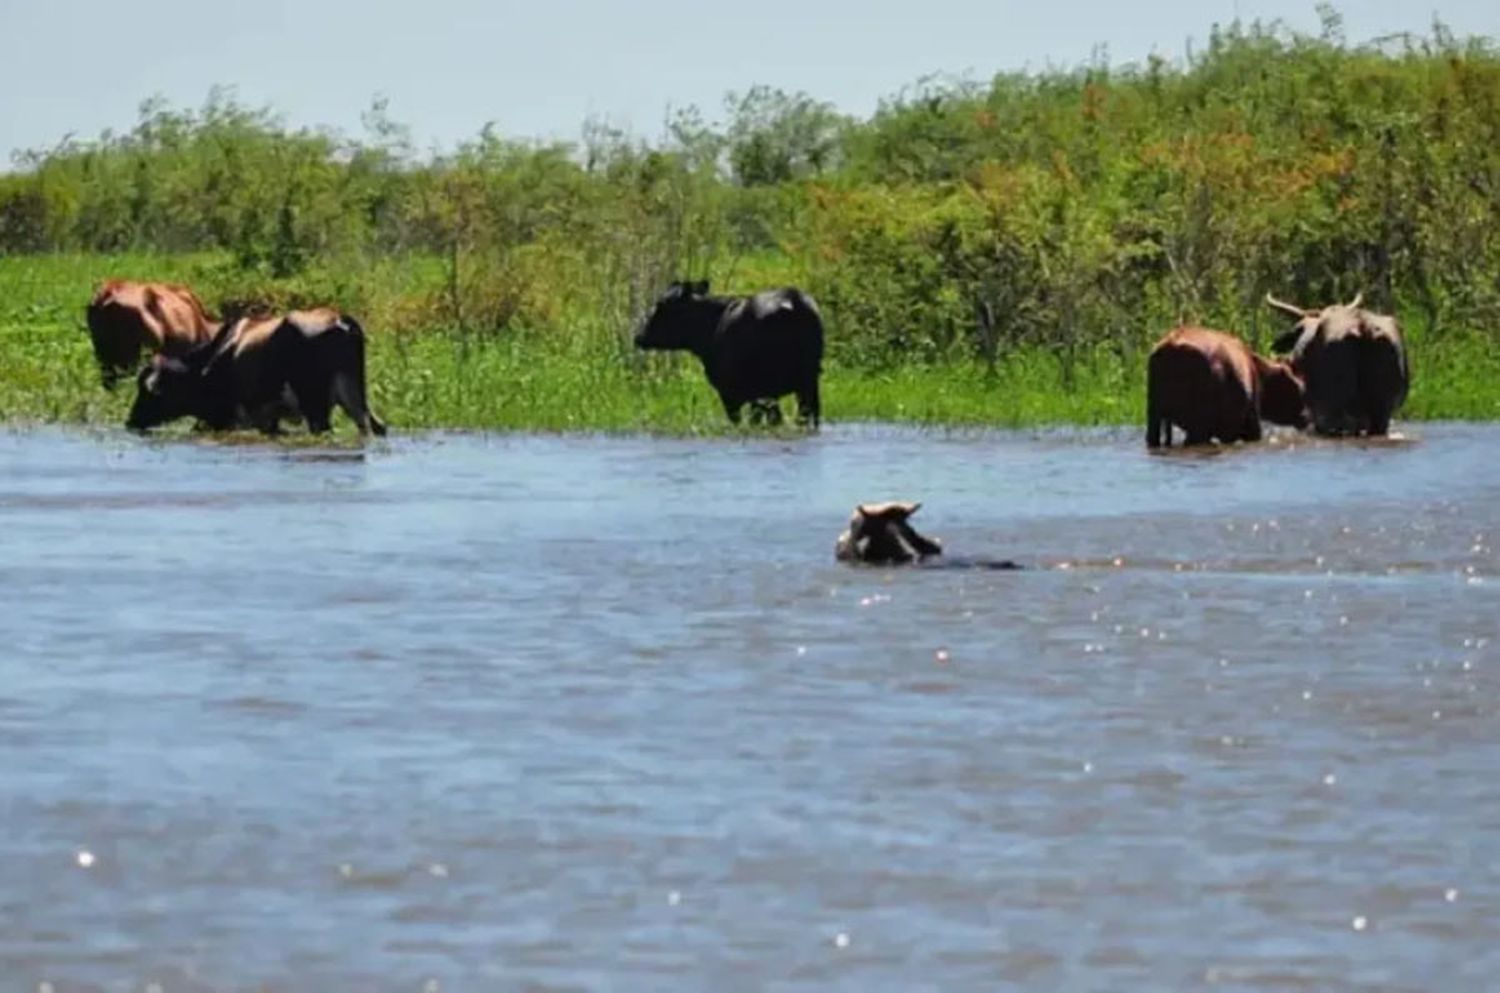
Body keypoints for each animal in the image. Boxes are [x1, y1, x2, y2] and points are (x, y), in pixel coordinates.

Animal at [126, 309, 387, 438]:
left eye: (147, 393)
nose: (131, 421)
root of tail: (342, 321)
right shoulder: (268, 421)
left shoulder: (225, 419)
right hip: (356, 400)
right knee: (376, 427)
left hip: (316, 409)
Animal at [630, 283, 828, 432]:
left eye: (661, 306)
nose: (638, 337)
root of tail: (792, 300)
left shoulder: (730, 392)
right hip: (808, 380)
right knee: (809, 415)